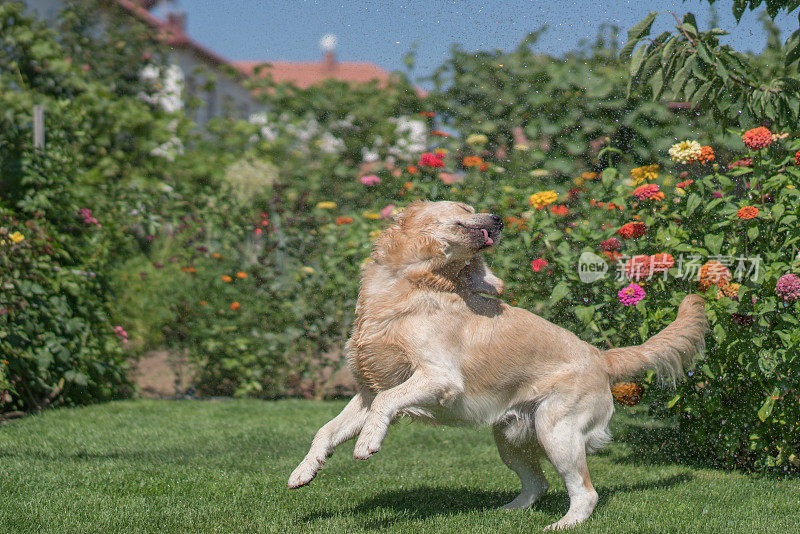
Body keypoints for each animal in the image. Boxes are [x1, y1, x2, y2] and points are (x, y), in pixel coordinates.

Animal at [290, 201, 708, 532]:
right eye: (464, 208)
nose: (499, 218)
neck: (408, 285)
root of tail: (598, 354)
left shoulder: (438, 378)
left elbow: (386, 404)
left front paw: (368, 442)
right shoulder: (367, 389)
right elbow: (325, 431)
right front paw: (304, 471)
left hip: (556, 430)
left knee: (585, 492)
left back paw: (563, 524)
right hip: (510, 437)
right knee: (538, 485)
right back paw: (505, 512)